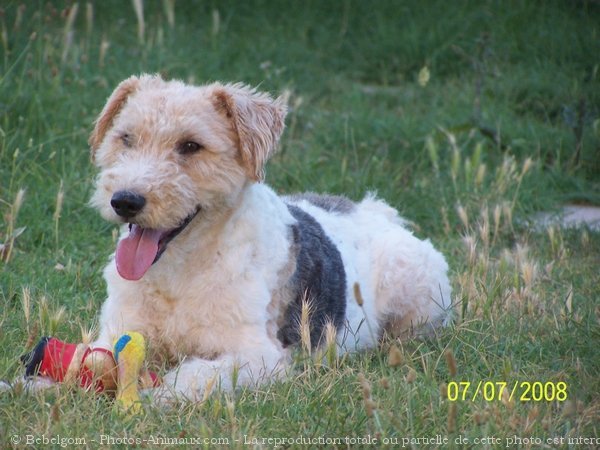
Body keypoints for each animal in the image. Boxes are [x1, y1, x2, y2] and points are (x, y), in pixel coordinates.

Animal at [81, 74, 450, 404]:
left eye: (191, 145)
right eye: (126, 137)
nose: (125, 201)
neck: (179, 273)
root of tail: (376, 211)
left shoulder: (259, 356)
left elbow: (194, 375)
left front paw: (153, 397)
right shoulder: (117, 331)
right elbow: (90, 360)